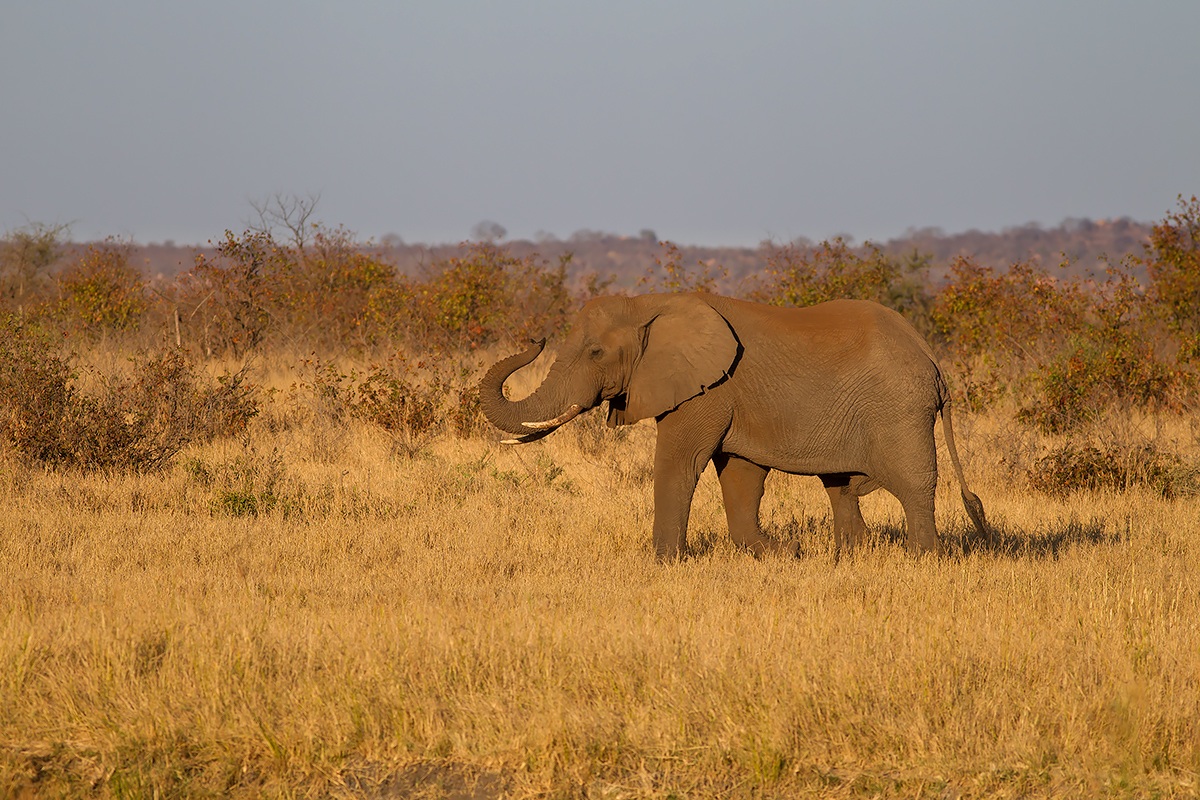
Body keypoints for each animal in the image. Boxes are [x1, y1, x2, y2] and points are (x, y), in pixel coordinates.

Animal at [479, 293, 988, 560]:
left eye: (596, 353)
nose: (536, 337)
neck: (651, 303)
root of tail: (933, 361)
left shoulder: (706, 390)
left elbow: (679, 463)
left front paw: (664, 562)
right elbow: (741, 475)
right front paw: (779, 553)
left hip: (899, 409)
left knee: (913, 484)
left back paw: (923, 558)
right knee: (841, 486)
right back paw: (852, 556)